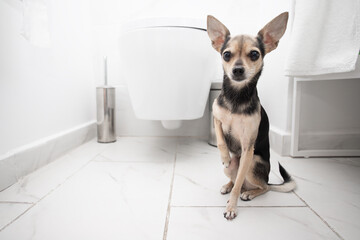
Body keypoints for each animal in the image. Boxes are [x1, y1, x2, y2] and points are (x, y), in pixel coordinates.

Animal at [207, 12, 296, 220]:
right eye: (226, 55)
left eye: (254, 54)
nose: (237, 69)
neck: (236, 97)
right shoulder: (216, 118)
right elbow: (221, 139)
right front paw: (224, 155)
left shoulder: (248, 146)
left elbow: (239, 183)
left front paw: (231, 207)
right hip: (230, 167)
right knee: (235, 178)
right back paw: (227, 185)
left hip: (253, 163)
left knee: (260, 187)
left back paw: (249, 193)